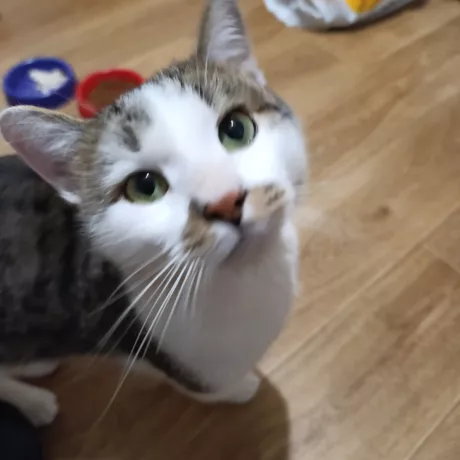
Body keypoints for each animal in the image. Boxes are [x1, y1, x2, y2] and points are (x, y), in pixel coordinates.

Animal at [0, 0, 307, 427]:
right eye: (145, 187)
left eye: (236, 128)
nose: (225, 201)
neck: (247, 278)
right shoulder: (173, 355)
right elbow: (207, 386)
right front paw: (242, 388)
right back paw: (35, 401)